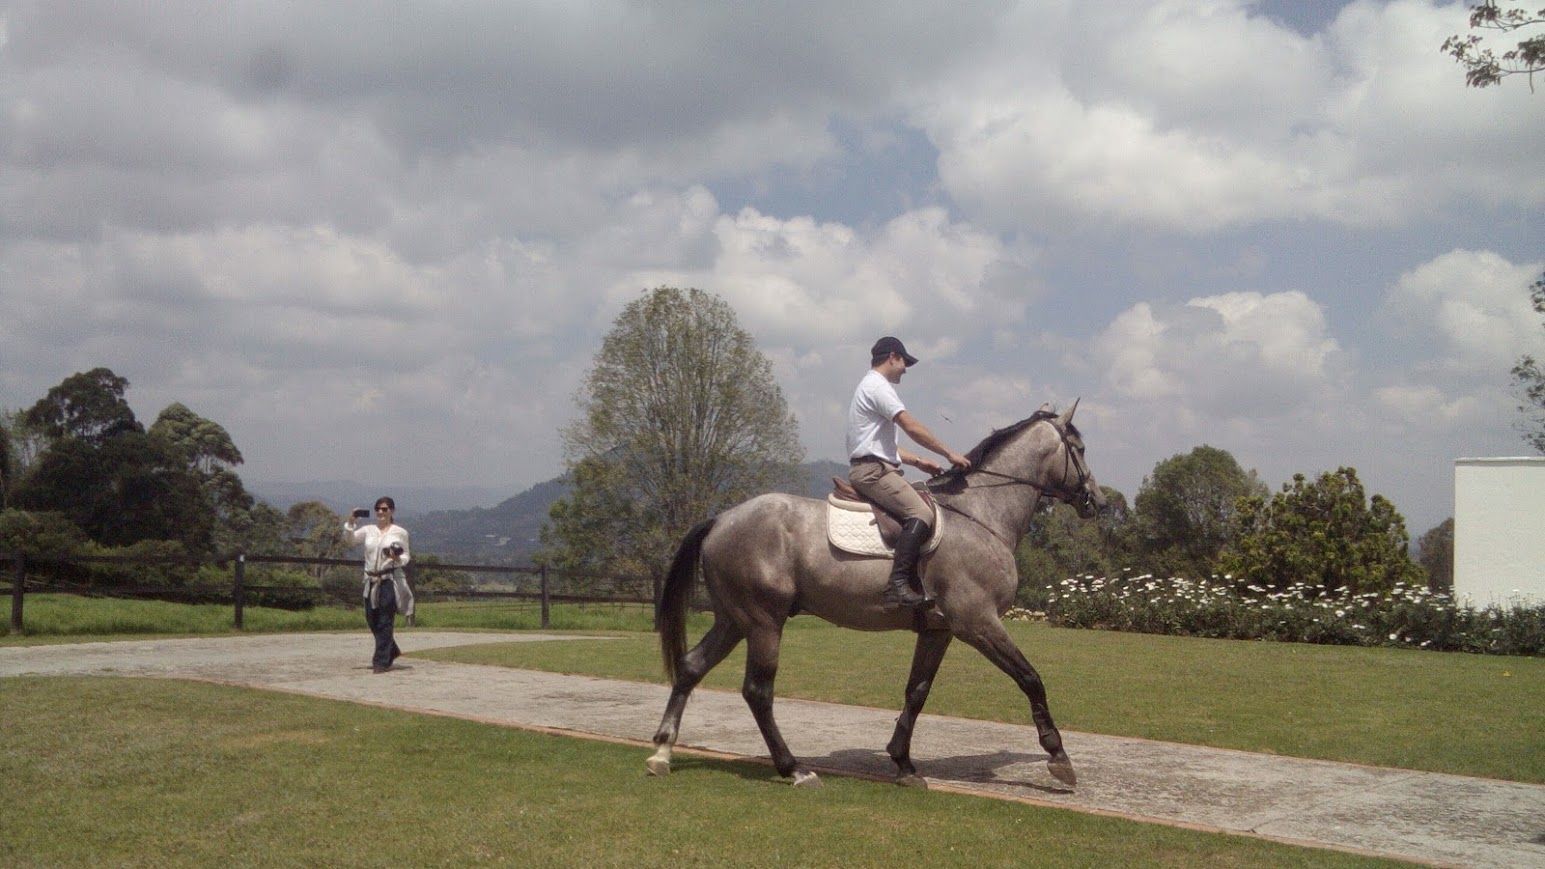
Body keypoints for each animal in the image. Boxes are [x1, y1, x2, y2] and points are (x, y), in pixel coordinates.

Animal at [645, 401, 1106, 788]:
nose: (1097, 501)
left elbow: (917, 692)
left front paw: (903, 763)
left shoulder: (939, 630)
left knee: (691, 667)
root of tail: (722, 519)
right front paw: (1059, 757)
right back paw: (793, 768)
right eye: (1081, 449)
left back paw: (663, 751)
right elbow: (1030, 678)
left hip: (733, 619)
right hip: (763, 622)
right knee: (758, 691)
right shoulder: (977, 622)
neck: (979, 515)